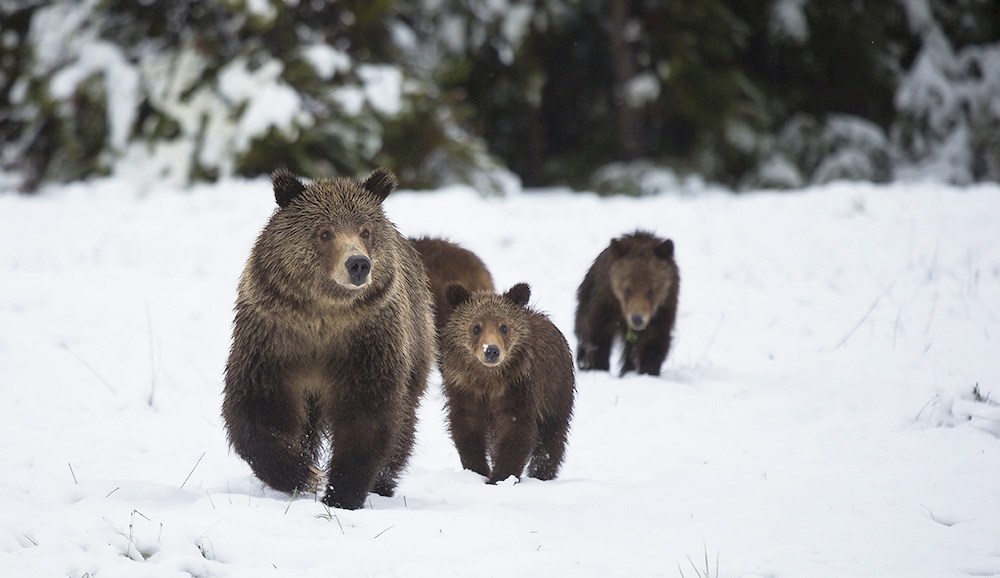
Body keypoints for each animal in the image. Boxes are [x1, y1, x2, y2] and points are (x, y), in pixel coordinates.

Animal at [222, 168, 435, 510]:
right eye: (324, 233)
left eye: (365, 231)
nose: (358, 263)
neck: (322, 316)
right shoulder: (273, 339)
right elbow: (258, 407)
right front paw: (300, 472)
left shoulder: (365, 342)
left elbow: (366, 417)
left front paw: (342, 493)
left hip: (417, 340)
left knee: (404, 420)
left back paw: (384, 482)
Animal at [439, 282, 575, 484]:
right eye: (476, 327)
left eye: (504, 327)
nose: (491, 350)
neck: (489, 380)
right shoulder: (464, 389)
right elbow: (467, 430)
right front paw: (477, 470)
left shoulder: (517, 388)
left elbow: (516, 431)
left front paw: (500, 477)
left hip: (556, 391)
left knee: (552, 436)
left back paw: (542, 474)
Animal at [575, 230, 680, 377]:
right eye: (628, 289)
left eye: (651, 291)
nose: (637, 319)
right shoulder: (605, 303)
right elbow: (598, 333)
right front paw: (599, 366)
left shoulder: (663, 309)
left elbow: (653, 342)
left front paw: (648, 371)